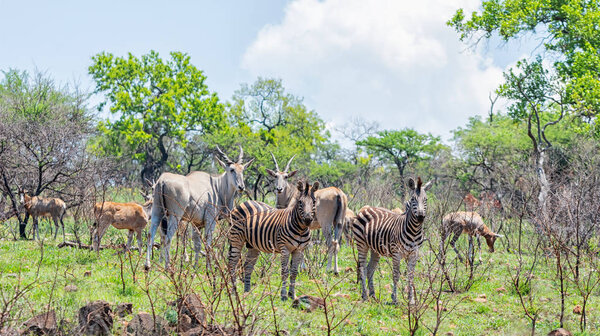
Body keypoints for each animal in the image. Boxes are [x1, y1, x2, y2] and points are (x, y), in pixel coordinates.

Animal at [352, 177, 432, 306]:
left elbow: (410, 277)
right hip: (361, 243)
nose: (420, 217)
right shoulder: (396, 253)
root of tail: (365, 207)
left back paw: (373, 295)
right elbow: (396, 276)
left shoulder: (414, 253)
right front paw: (394, 298)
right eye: (413, 199)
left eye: (426, 200)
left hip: (375, 249)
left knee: (369, 269)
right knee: (362, 269)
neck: (414, 231)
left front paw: (411, 300)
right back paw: (365, 295)